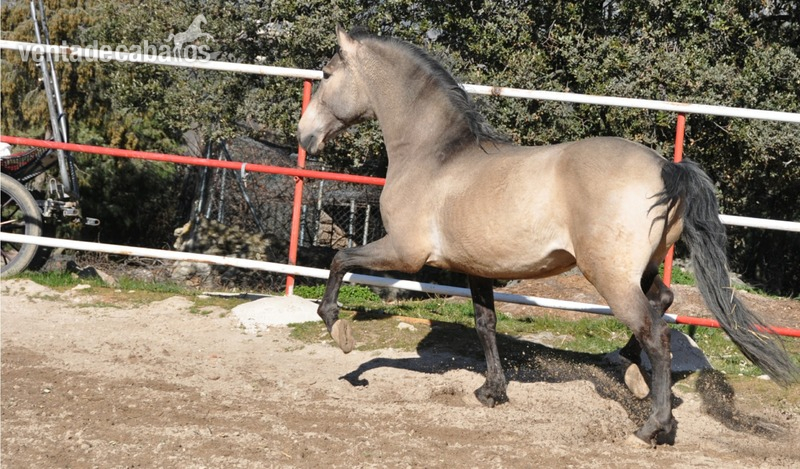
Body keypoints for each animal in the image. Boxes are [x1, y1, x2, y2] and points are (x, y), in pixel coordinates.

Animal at [296, 25, 799, 446]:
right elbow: (486, 324)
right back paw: (634, 376)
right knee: (663, 305)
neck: (435, 156)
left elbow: (340, 259)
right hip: (641, 270)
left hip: (609, 277)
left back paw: (652, 427)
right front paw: (492, 391)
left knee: (656, 333)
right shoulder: (477, 268)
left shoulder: (405, 254)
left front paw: (337, 328)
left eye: (325, 74)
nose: (305, 137)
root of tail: (666, 167)